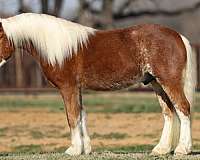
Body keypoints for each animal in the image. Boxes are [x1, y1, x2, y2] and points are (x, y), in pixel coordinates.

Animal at [0, 13, 196, 156]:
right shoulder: (77, 89)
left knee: (183, 108)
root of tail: (178, 36)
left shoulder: (68, 88)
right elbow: (81, 115)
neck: (59, 48)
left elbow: (72, 117)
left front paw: (74, 150)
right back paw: (161, 149)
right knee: (169, 113)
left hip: (169, 81)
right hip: (156, 83)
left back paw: (182, 149)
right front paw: (85, 149)